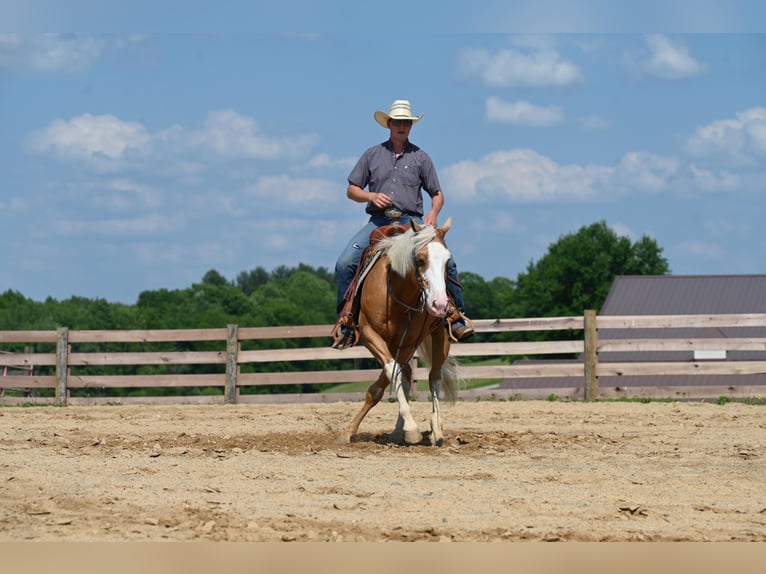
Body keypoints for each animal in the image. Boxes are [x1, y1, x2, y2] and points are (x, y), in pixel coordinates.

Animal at [342, 218, 462, 448]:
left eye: (448, 261)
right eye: (421, 259)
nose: (440, 305)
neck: (396, 295)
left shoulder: (408, 341)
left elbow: (389, 380)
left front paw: (412, 428)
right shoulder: (370, 335)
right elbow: (389, 375)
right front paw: (349, 430)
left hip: (440, 337)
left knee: (434, 377)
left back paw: (436, 428)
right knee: (406, 376)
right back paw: (401, 431)